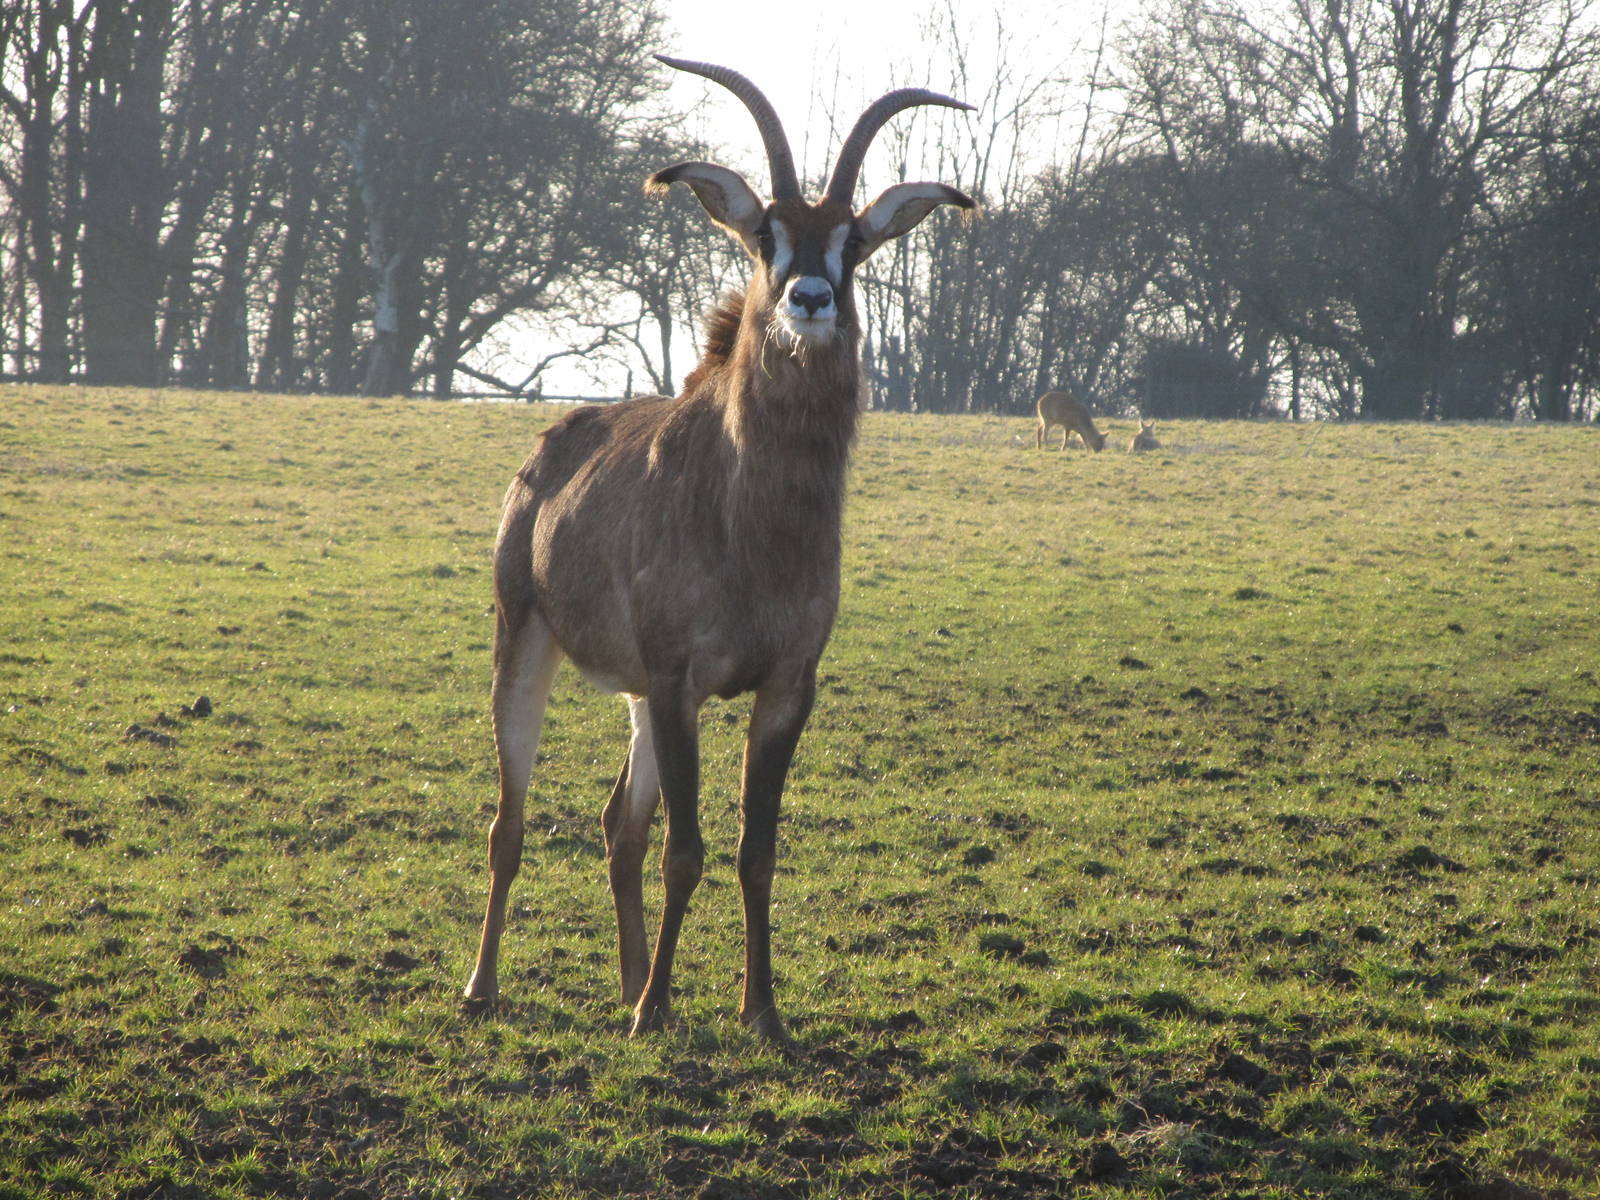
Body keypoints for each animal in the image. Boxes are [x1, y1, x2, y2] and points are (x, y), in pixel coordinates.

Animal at [463, 56, 976, 1042]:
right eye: (766, 234)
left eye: (853, 241)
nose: (808, 300)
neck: (758, 531)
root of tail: (547, 451)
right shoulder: (679, 683)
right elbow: (688, 851)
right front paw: (660, 1008)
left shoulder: (784, 689)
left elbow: (753, 851)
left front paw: (761, 1013)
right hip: (527, 643)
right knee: (512, 824)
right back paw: (490, 989)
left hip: (633, 696)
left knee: (618, 824)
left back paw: (629, 983)